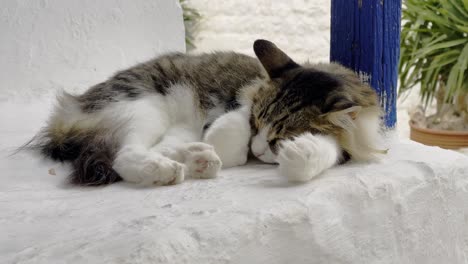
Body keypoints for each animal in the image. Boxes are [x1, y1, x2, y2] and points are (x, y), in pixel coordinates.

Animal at [31, 40, 384, 187]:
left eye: (279, 139)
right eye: (256, 121)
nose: (258, 151)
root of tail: (71, 107)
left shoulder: (351, 140)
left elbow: (328, 149)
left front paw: (301, 156)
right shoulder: (242, 103)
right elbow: (233, 131)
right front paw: (231, 149)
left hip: (170, 127)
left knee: (163, 148)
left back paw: (197, 160)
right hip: (143, 107)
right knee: (124, 155)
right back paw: (164, 169)